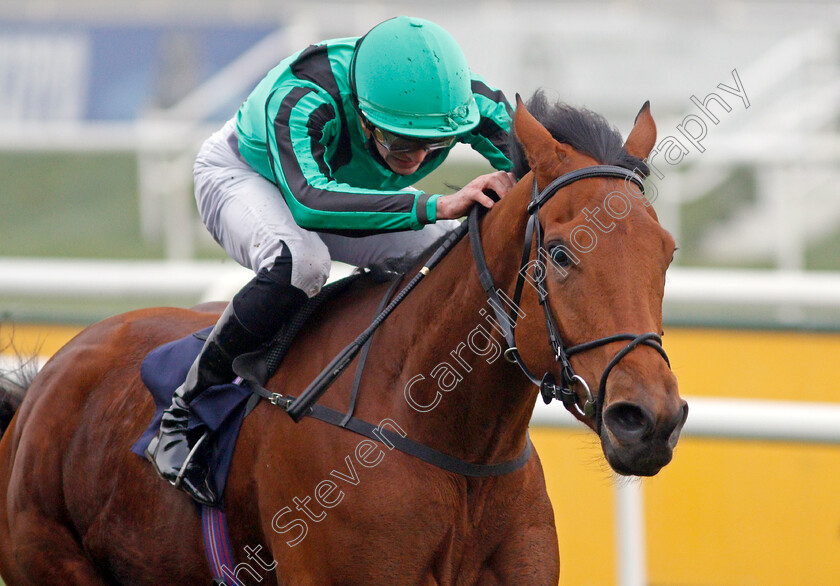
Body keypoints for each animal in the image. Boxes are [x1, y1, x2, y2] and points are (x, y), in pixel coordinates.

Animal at [0, 93, 684, 580]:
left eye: (667, 252)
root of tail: (42, 389)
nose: (649, 419)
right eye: (562, 253)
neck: (450, 438)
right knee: (294, 261)